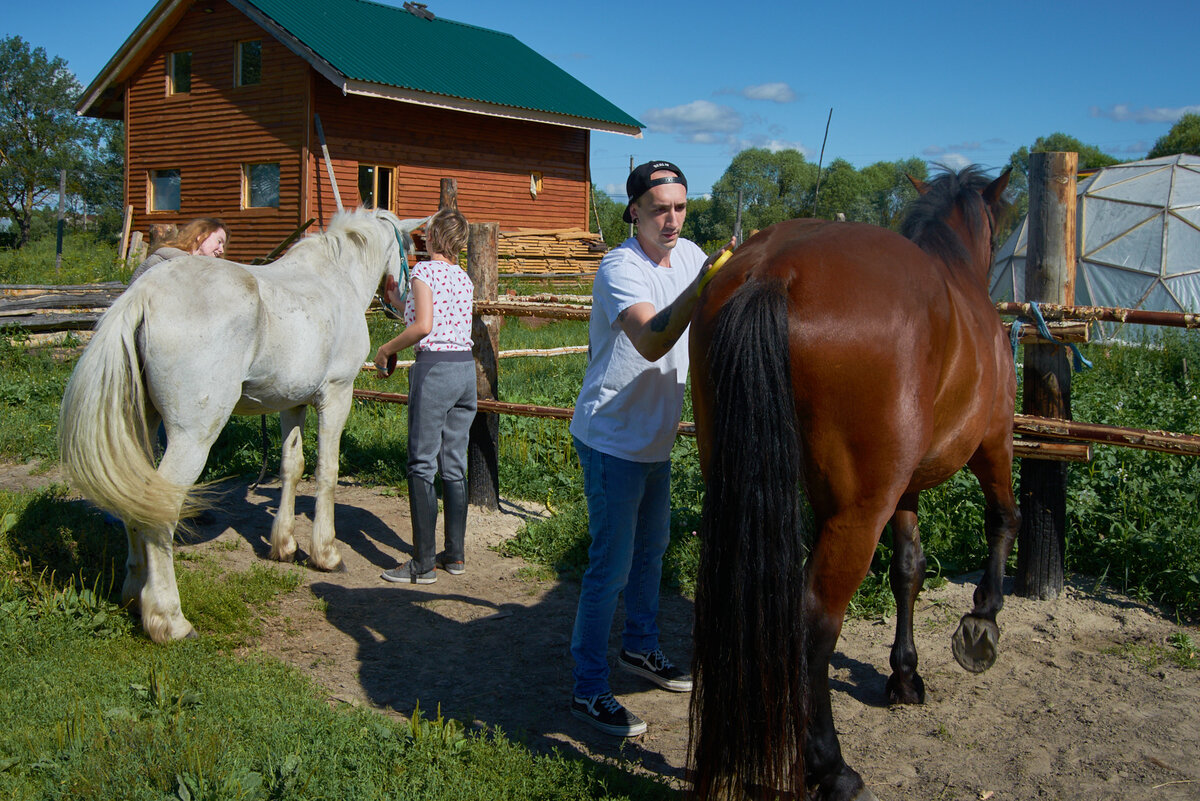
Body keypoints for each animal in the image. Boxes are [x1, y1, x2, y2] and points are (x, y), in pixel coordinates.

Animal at [60, 208, 429, 642]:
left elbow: (292, 467)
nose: (405, 302)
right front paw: (326, 553)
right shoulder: (337, 395)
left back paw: (135, 594)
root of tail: (144, 295)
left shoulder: (292, 404)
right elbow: (327, 472)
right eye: (410, 249)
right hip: (192, 437)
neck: (335, 277)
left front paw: (284, 546)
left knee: (135, 497)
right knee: (160, 509)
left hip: (141, 427)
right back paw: (170, 619)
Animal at [691, 165, 1017, 796]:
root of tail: (773, 270)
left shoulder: (904, 488)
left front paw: (905, 676)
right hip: (858, 514)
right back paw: (831, 767)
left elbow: (909, 569)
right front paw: (981, 624)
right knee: (813, 621)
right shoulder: (994, 443)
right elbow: (1003, 520)